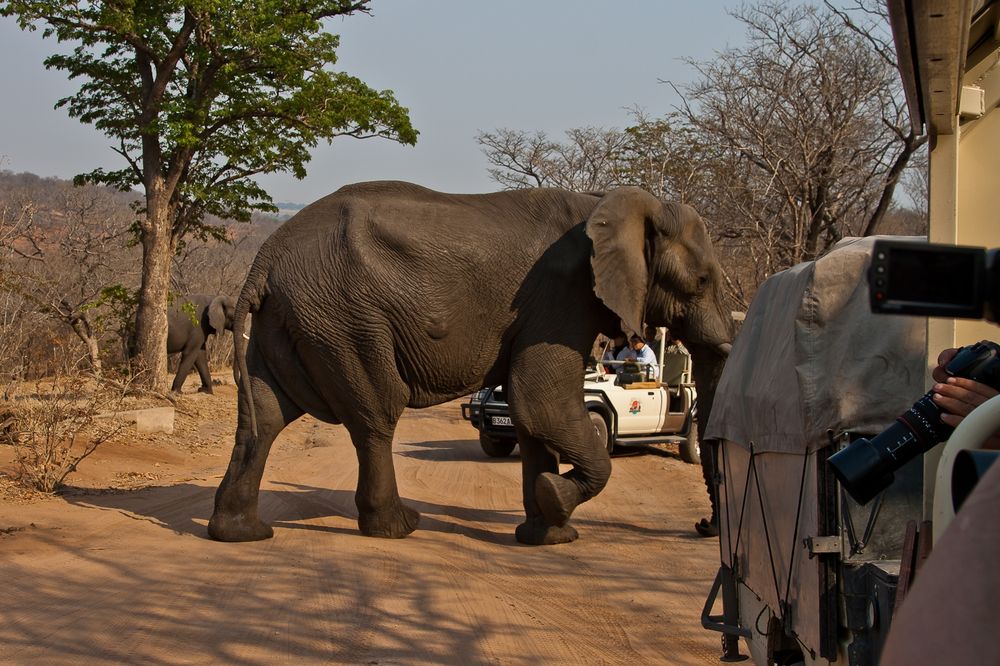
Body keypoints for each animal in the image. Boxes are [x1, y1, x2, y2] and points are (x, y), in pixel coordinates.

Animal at [207, 179, 732, 544]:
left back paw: (239, 534)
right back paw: (399, 527)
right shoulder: (561, 301)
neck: (613, 201)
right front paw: (555, 499)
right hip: (344, 319)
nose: (702, 526)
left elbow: (528, 414)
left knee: (264, 416)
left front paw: (548, 534)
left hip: (293, 320)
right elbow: (542, 403)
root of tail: (264, 259)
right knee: (376, 415)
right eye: (703, 281)